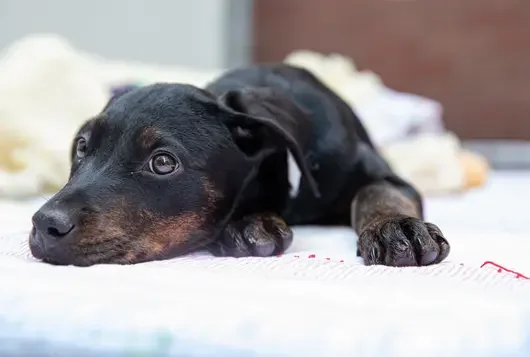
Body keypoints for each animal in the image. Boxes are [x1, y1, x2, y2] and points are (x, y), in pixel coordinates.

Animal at [28, 64, 448, 266]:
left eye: (162, 163)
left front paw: (396, 229)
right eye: (82, 147)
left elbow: (377, 193)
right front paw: (250, 223)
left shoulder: (384, 177)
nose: (44, 225)